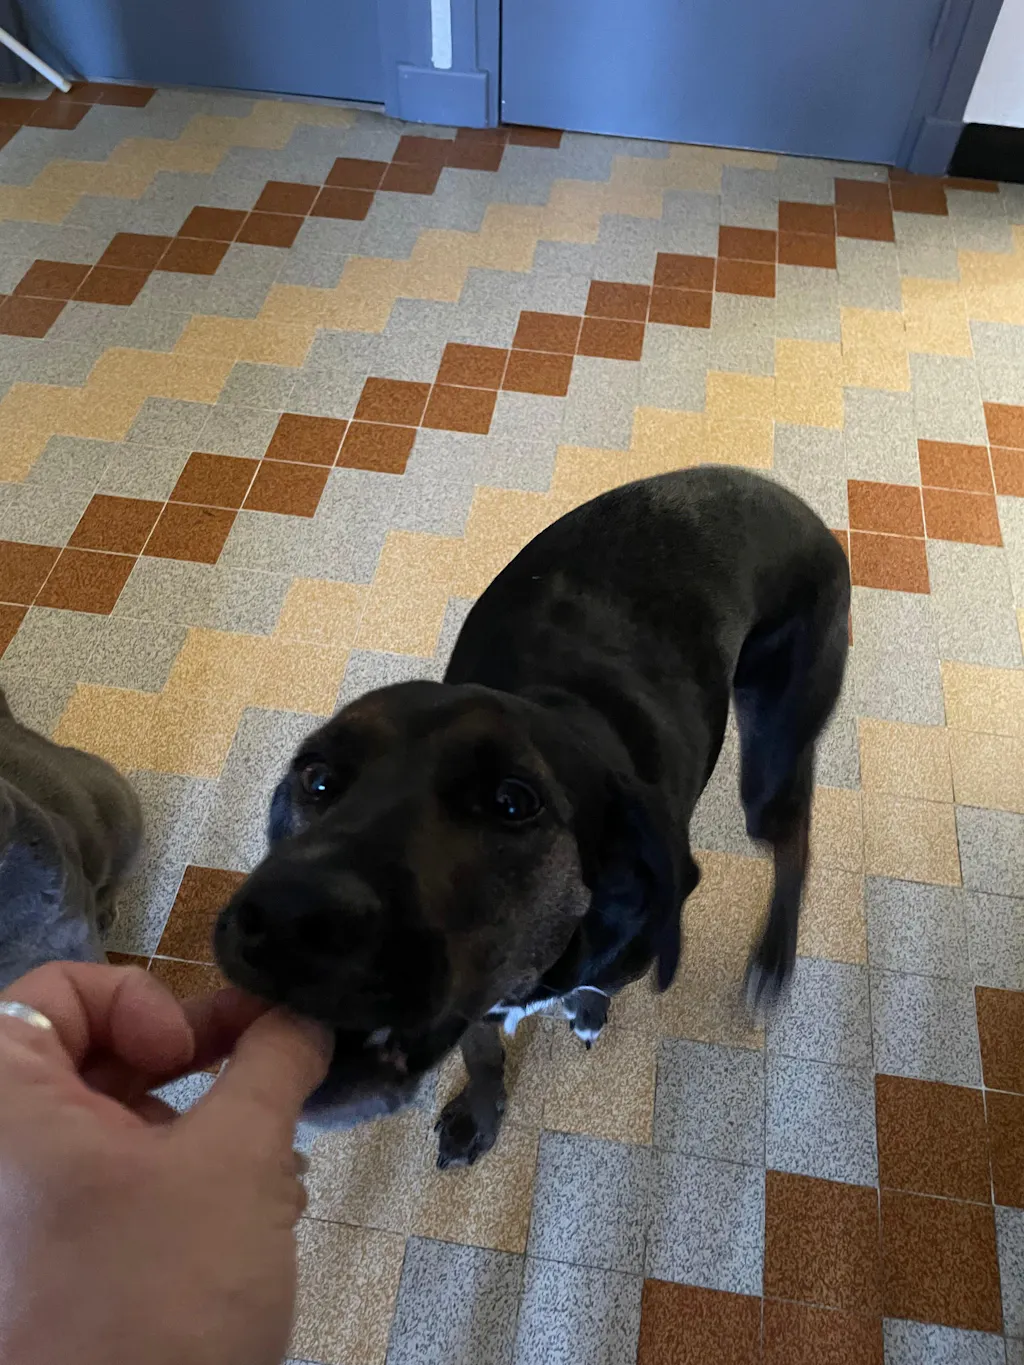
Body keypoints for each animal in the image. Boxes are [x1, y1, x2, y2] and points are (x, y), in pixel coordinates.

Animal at [215, 466, 850, 1166]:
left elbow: (596, 987)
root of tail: (781, 494)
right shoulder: (477, 1006)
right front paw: (479, 1113)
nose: (282, 917)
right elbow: (482, 1051)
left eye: (513, 802)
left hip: (772, 750)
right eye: (317, 778)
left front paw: (588, 1012)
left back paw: (772, 960)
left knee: (793, 836)